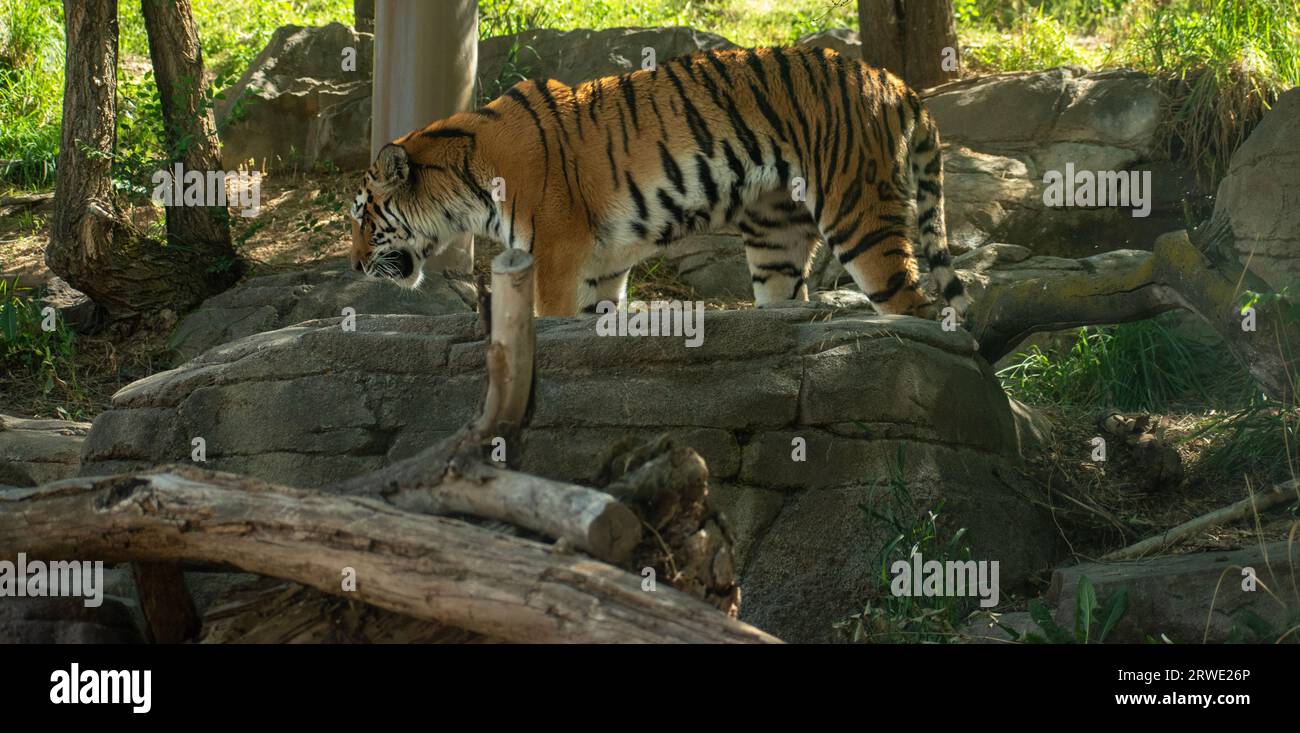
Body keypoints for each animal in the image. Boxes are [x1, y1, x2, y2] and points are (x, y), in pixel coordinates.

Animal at [345, 45, 967, 321]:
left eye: (361, 217)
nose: (352, 265)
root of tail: (895, 82)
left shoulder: (555, 260)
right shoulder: (599, 268)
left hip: (857, 209)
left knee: (914, 304)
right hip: (776, 236)